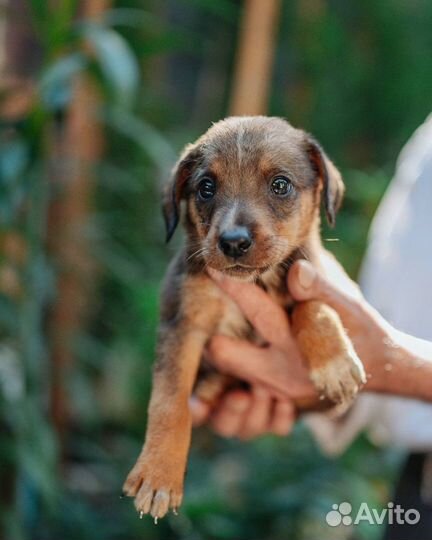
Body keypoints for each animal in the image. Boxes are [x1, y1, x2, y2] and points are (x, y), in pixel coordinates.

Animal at [123, 117, 366, 520]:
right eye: (206, 188)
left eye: (280, 185)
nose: (234, 242)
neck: (255, 283)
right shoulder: (182, 322)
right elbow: (169, 402)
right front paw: (158, 474)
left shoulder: (312, 271)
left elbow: (312, 306)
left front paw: (334, 362)